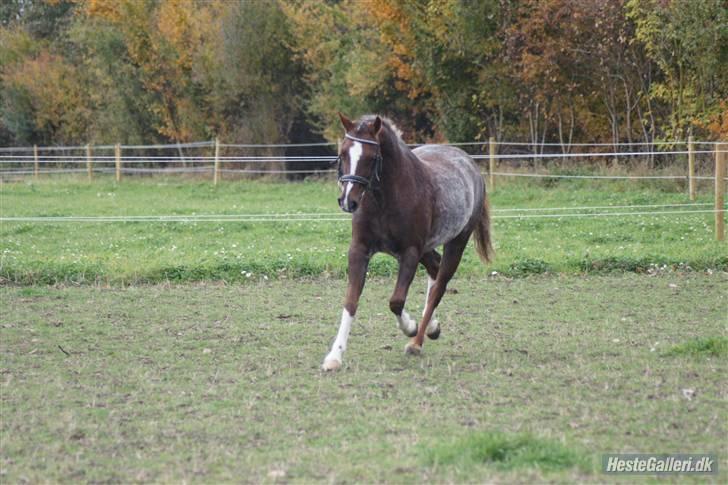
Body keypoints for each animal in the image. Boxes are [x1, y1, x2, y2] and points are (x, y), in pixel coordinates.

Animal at [322, 113, 493, 371]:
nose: (348, 201)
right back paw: (431, 327)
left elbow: (396, 301)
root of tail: (470, 165)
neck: (384, 199)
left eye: (372, 157)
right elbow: (351, 301)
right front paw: (335, 356)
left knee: (439, 286)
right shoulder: (359, 250)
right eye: (343, 153)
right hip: (427, 248)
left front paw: (410, 327)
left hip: (456, 243)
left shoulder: (410, 252)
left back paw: (417, 341)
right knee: (434, 268)